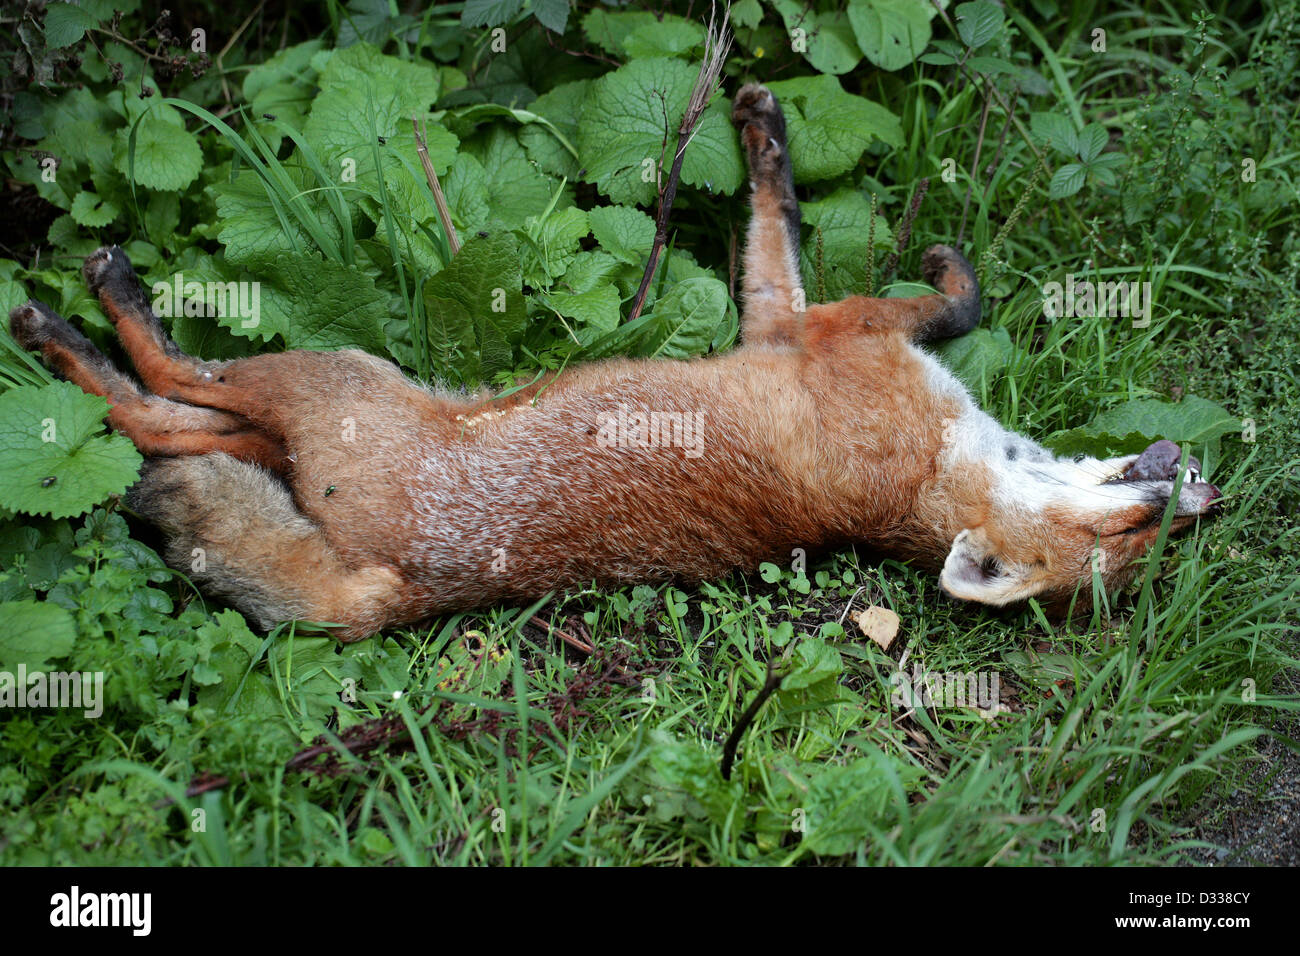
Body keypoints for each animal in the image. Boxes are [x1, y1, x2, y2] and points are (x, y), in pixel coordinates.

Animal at [8, 83, 1221, 642]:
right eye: (1137, 534)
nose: (1198, 495)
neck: (938, 470)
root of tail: (406, 593)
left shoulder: (815, 331)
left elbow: (815, 249)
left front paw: (765, 136)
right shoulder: (806, 335)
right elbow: (937, 291)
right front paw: (771, 131)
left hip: (324, 383)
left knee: (169, 406)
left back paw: (79, 320)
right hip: (310, 417)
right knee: (177, 422)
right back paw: (89, 322)